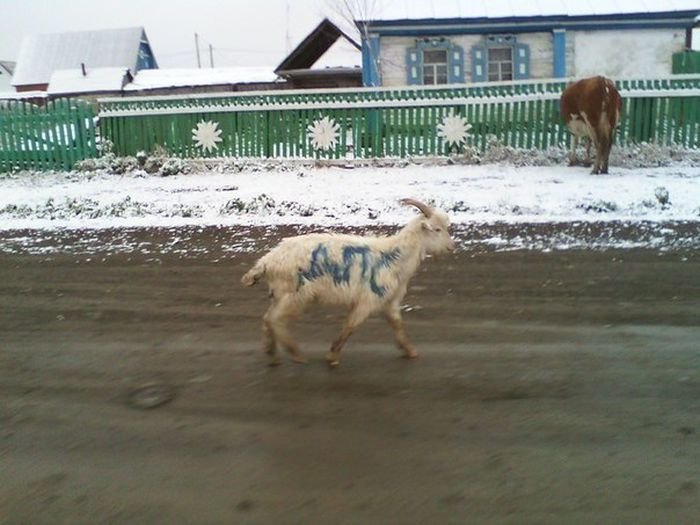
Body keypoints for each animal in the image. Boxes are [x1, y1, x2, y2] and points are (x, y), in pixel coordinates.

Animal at [241, 199, 456, 366]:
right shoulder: (369, 298)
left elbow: (397, 324)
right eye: (437, 229)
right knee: (275, 319)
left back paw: (272, 354)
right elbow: (351, 325)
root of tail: (266, 262)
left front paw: (409, 350)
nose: (451, 247)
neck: (395, 255)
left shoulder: (390, 299)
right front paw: (332, 355)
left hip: (281, 294)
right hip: (295, 294)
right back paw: (296, 354)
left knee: (268, 318)